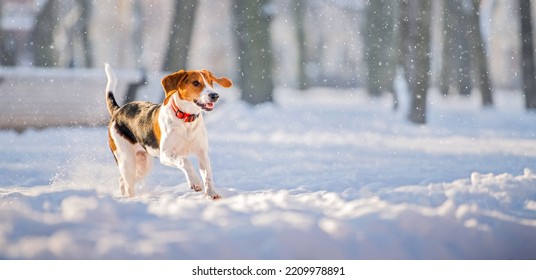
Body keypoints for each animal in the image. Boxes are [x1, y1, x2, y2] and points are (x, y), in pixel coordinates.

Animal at [103, 64, 231, 199]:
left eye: (211, 82)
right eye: (196, 83)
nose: (215, 96)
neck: (186, 119)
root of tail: (118, 110)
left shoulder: (202, 153)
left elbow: (207, 176)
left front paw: (211, 194)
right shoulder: (165, 155)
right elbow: (185, 161)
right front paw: (195, 182)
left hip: (143, 165)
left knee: (123, 180)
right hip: (127, 160)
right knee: (128, 184)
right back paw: (130, 198)